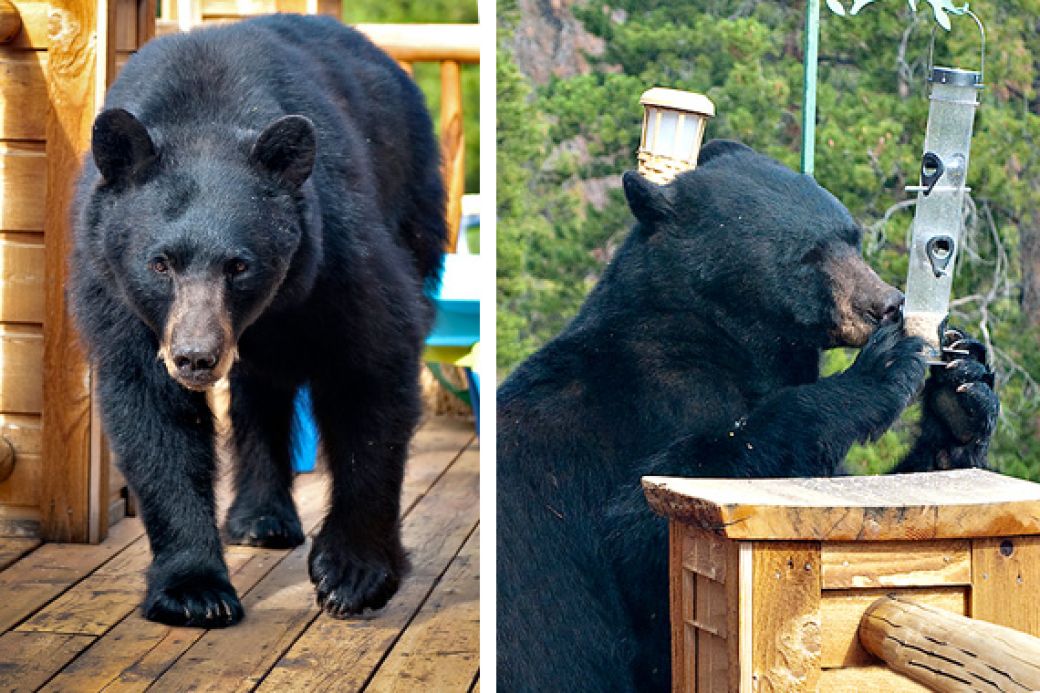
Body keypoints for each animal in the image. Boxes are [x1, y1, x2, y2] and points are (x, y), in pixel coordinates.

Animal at [71, 13, 445, 624]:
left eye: (239, 264)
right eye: (160, 263)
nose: (195, 357)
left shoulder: (336, 252)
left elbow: (371, 368)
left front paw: (354, 574)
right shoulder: (114, 287)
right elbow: (153, 411)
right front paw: (193, 589)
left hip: (411, 204)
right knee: (259, 389)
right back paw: (259, 519)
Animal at [495, 141, 998, 690]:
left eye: (852, 238)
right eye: (806, 255)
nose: (887, 304)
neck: (720, 335)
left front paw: (962, 395)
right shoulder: (650, 407)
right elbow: (647, 524)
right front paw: (884, 365)